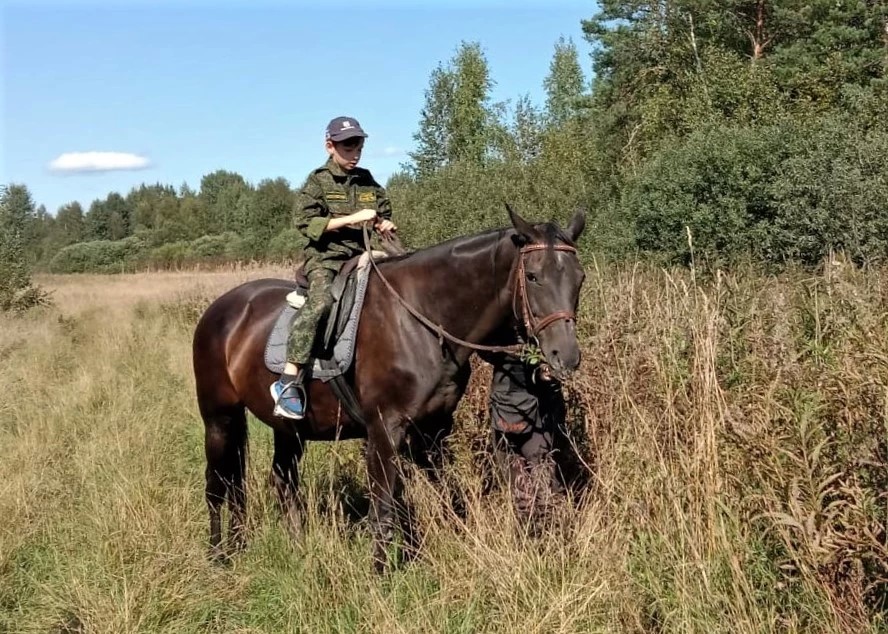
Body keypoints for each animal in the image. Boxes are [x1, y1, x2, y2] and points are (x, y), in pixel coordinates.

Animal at [191, 205, 588, 572]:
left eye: (579, 277)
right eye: (533, 276)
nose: (565, 356)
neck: (420, 318)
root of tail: (221, 308)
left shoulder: (432, 430)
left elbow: (442, 496)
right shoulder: (384, 429)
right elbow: (384, 503)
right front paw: (380, 572)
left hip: (288, 428)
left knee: (280, 479)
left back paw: (290, 546)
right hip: (219, 417)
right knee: (217, 483)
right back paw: (219, 553)